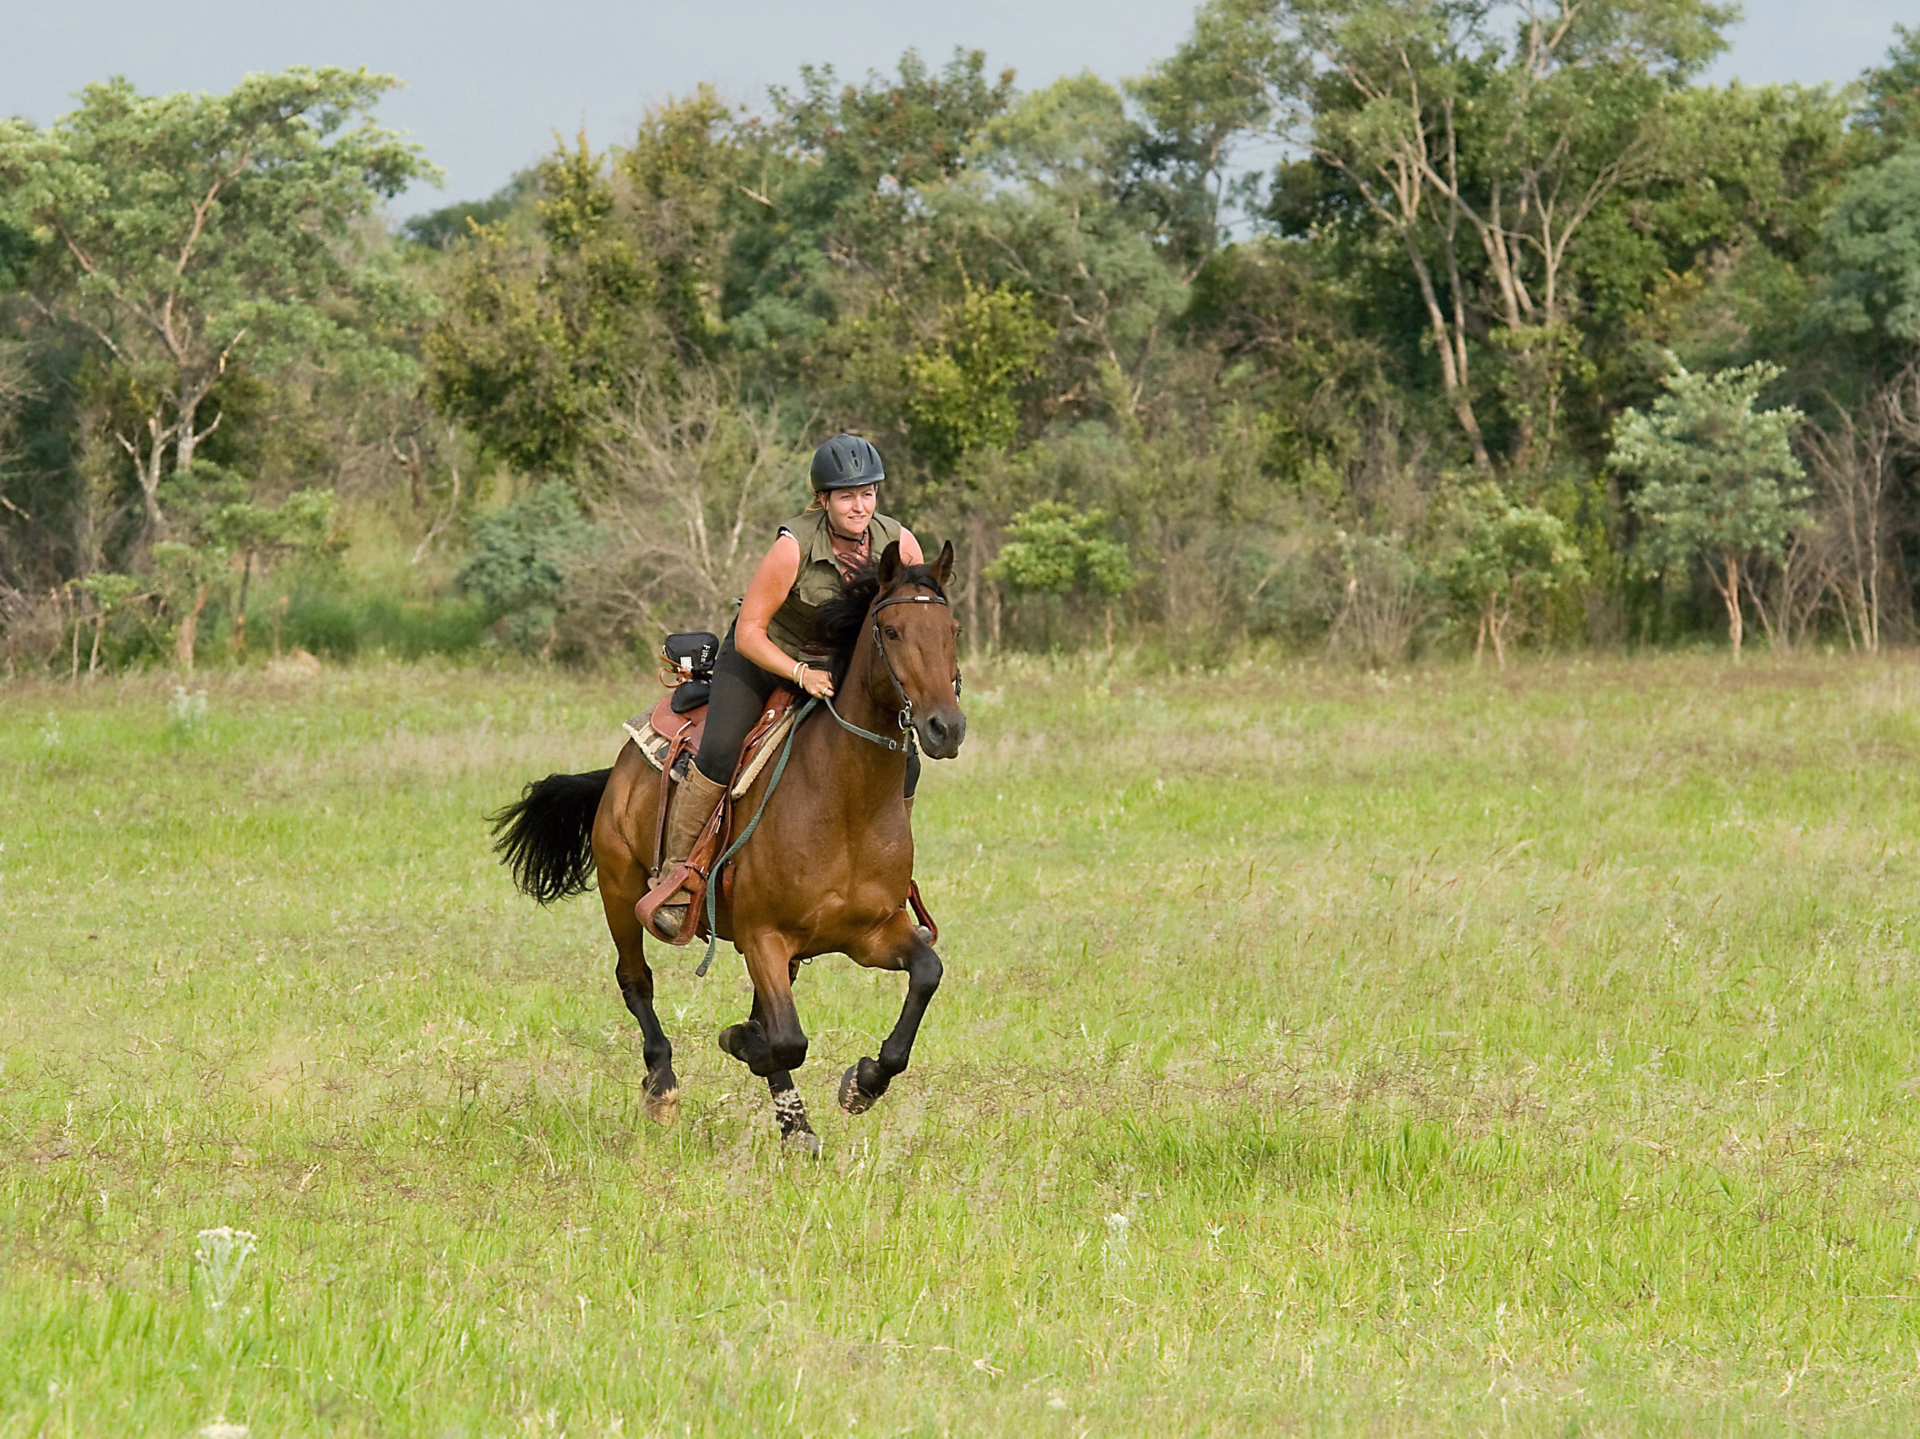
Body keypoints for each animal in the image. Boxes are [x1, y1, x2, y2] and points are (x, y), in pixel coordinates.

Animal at [487, 541, 967, 1150]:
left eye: (952, 629)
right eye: (893, 630)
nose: (945, 727)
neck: (843, 803)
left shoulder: (873, 933)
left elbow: (925, 975)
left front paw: (863, 1083)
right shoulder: (764, 937)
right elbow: (785, 1040)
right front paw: (743, 1043)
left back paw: (796, 1127)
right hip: (620, 888)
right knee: (636, 981)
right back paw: (664, 1085)